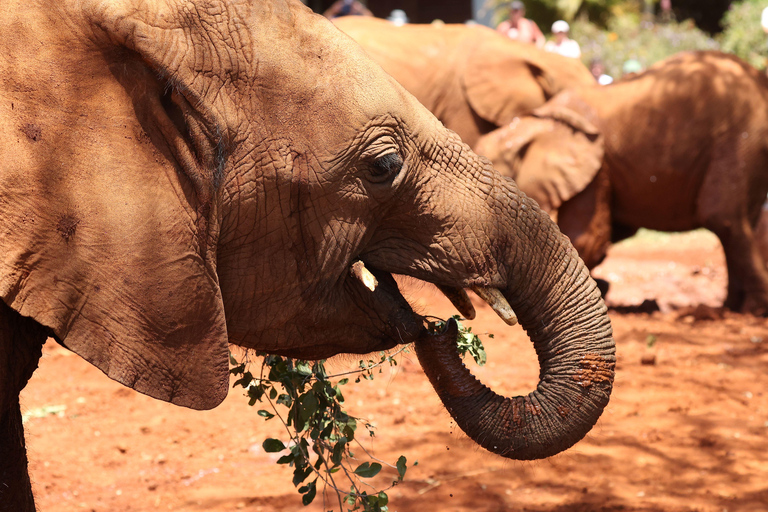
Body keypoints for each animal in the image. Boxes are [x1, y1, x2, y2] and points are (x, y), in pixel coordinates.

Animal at [476, 52, 768, 316]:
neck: (536, 121)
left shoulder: (596, 167)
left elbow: (585, 237)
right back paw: (729, 308)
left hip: (740, 139)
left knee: (722, 217)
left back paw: (752, 311)